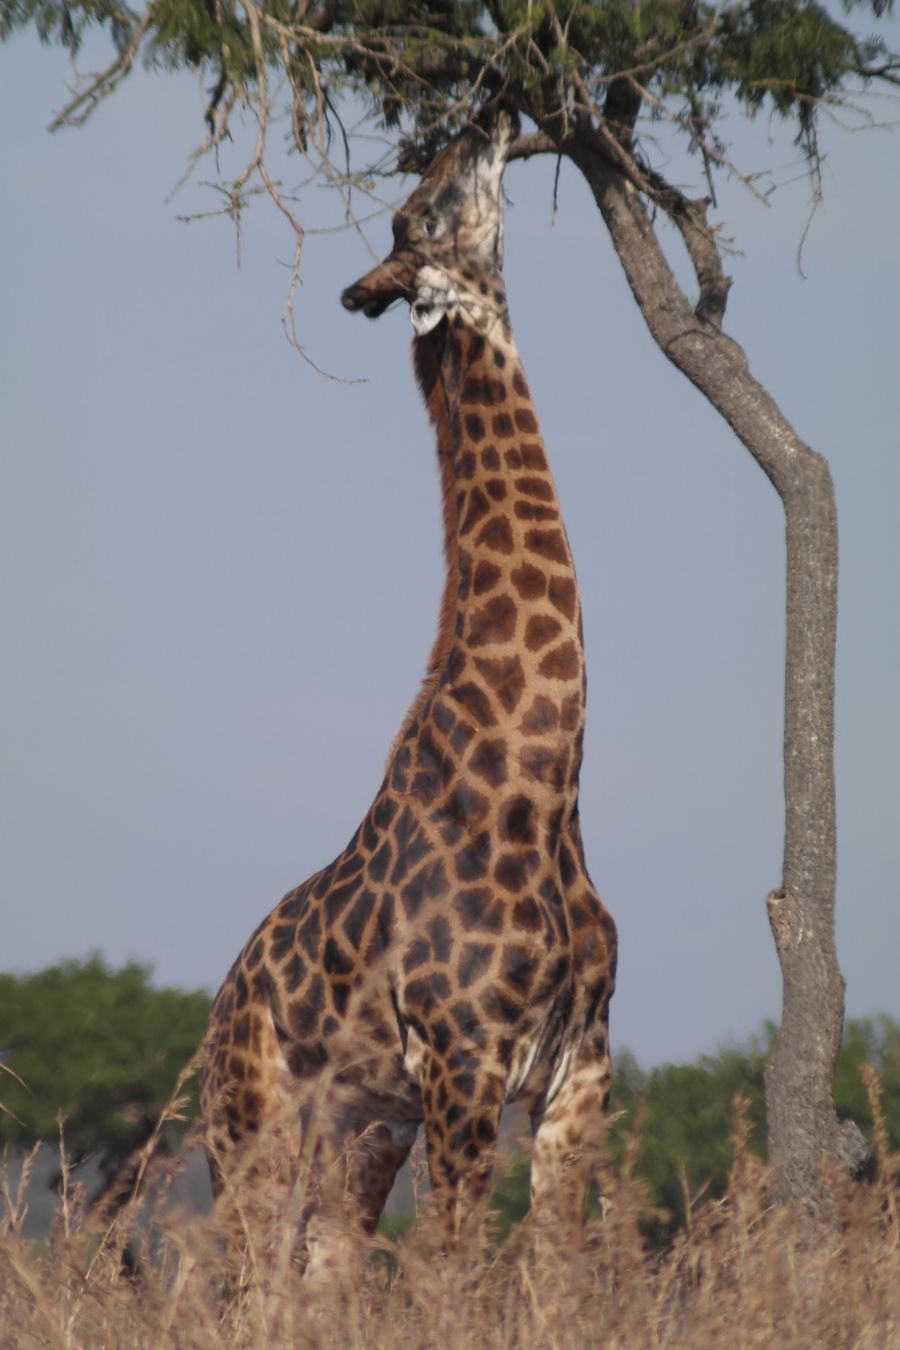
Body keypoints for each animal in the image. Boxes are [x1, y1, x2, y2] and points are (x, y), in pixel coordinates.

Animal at [201, 109, 617, 1274]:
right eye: (421, 211)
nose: (486, 119)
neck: (543, 788)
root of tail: (218, 1007)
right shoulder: (466, 1064)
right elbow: (454, 1273)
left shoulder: (579, 1071)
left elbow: (557, 1274)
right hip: (253, 1126)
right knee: (230, 1274)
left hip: (356, 1134)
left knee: (312, 1275)